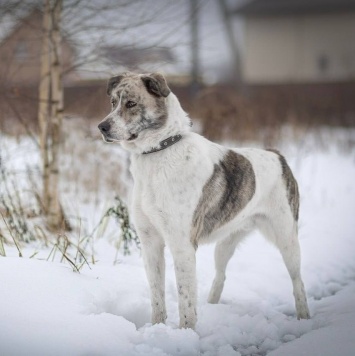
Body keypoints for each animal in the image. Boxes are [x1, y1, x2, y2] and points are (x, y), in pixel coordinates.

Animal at [98, 71, 312, 328]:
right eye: (112, 103)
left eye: (131, 104)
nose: (101, 127)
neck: (159, 150)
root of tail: (277, 155)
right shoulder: (150, 242)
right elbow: (157, 294)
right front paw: (157, 327)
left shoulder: (182, 245)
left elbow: (185, 299)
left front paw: (185, 331)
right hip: (226, 242)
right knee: (221, 274)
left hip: (286, 237)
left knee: (298, 280)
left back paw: (304, 316)